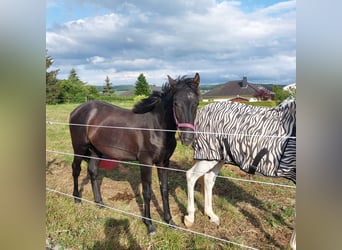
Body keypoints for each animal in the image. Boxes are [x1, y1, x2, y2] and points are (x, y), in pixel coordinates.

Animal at [69, 73, 200, 233]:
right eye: (175, 103)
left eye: (196, 103)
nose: (187, 138)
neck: (156, 128)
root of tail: (77, 110)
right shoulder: (145, 163)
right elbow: (147, 192)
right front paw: (149, 224)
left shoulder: (164, 162)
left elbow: (164, 190)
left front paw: (170, 221)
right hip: (79, 148)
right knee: (76, 169)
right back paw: (77, 198)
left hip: (95, 151)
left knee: (93, 172)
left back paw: (99, 202)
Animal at [184, 97, 296, 250]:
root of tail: (201, 111)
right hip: (209, 156)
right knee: (191, 176)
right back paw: (190, 218)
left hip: (218, 158)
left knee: (208, 179)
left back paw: (211, 215)